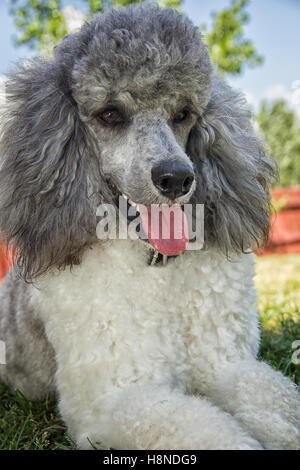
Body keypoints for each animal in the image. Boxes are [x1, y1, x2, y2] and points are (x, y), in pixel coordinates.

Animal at [0, 6, 300, 448]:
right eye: (110, 114)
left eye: (183, 114)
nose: (176, 178)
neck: (157, 267)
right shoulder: (116, 398)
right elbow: (210, 432)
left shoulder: (225, 365)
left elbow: (278, 401)